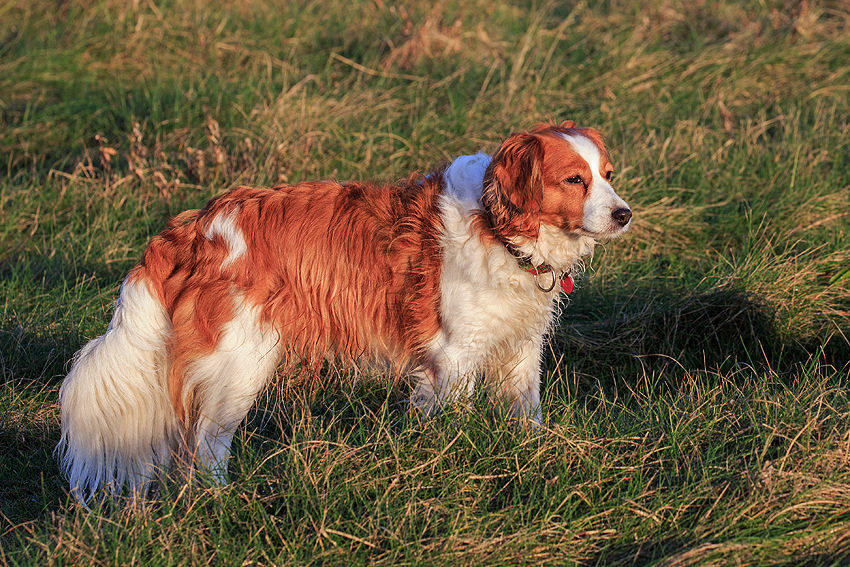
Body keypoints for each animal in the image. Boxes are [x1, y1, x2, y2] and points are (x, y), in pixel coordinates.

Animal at [58, 121, 628, 502]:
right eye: (574, 180)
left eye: (606, 174)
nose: (624, 213)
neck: (499, 227)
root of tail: (194, 227)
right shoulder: (451, 359)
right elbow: (451, 424)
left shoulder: (520, 350)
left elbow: (527, 414)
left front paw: (537, 454)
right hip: (239, 365)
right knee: (205, 447)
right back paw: (224, 500)